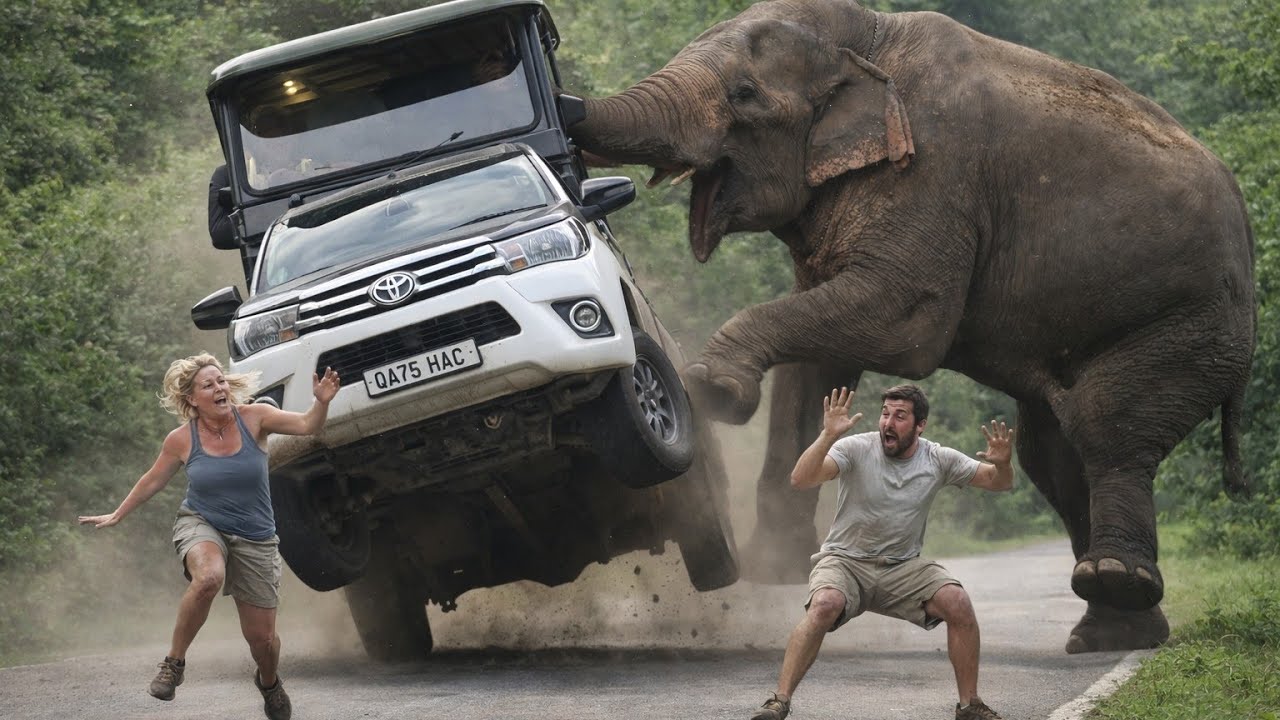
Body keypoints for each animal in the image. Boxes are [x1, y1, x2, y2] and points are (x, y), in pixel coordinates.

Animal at [567, 0, 1255, 654]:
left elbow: (902, 320)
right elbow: (813, 366)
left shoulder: (934, 170)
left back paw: (1114, 585)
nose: (562, 102)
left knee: (1105, 421)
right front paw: (776, 568)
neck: (867, 34)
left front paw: (714, 389)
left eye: (744, 94)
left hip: (1195, 321)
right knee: (1054, 454)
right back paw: (1113, 634)